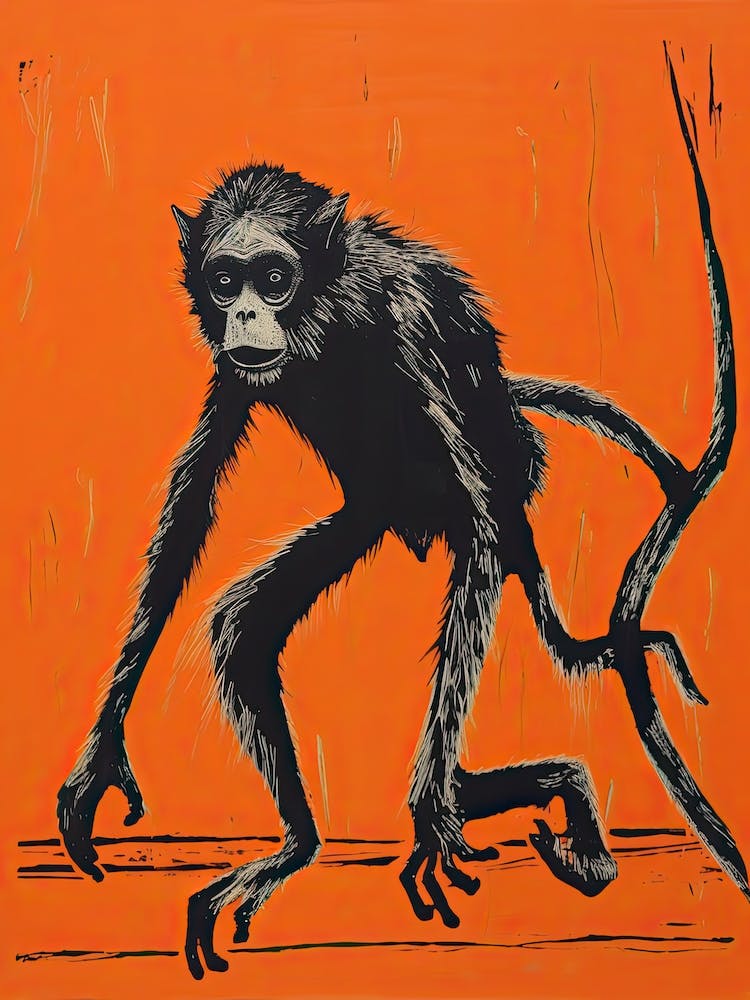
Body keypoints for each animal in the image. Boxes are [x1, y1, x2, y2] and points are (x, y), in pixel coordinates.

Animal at [57, 53, 748, 981]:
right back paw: (331, 838)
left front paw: (428, 819)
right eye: (223, 281)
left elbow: (479, 534)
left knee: (485, 555)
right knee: (242, 628)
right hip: (372, 514)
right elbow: (188, 517)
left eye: (271, 278)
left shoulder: (408, 320)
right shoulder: (236, 370)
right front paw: (100, 754)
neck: (329, 306)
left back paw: (479, 797)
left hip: (494, 498)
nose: (244, 313)